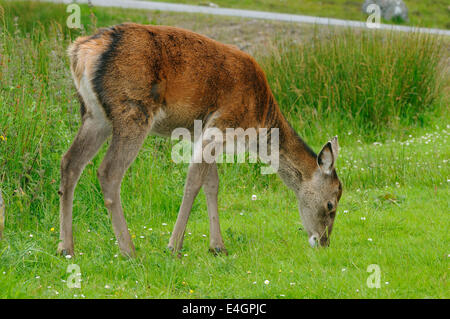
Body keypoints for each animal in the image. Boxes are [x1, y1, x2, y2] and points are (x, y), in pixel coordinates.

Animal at [58, 22, 342, 258]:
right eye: (331, 204)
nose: (324, 242)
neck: (258, 119)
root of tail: (82, 50)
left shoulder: (201, 132)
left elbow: (212, 184)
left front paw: (217, 246)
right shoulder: (222, 124)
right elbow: (194, 180)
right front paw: (174, 246)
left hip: (94, 114)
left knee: (70, 162)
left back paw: (66, 248)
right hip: (133, 109)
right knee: (108, 171)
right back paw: (129, 250)